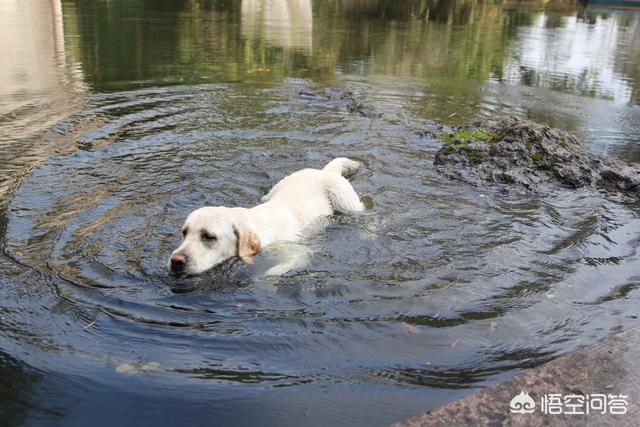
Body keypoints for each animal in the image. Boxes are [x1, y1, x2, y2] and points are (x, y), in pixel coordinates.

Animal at [168, 159, 362, 276]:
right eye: (184, 233)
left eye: (209, 236)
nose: (175, 261)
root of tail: (323, 170)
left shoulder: (298, 254)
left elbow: (268, 275)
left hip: (346, 201)